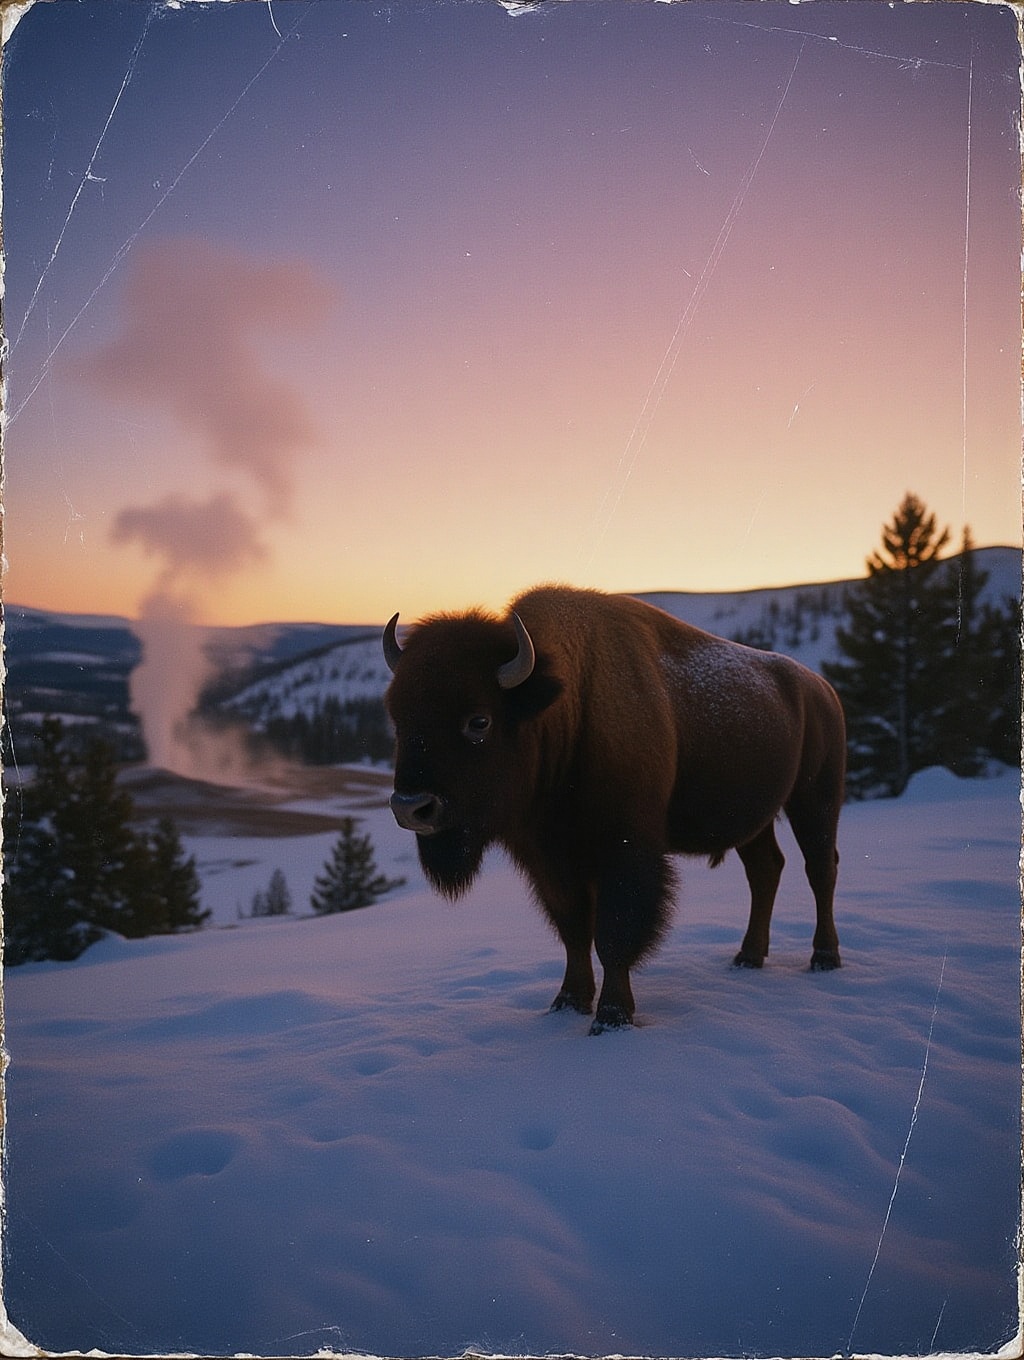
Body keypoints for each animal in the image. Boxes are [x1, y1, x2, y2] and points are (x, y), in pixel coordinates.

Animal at [383, 585, 845, 1034]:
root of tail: (822, 689)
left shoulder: (624, 850)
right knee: (765, 870)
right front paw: (567, 1002)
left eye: (479, 721)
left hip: (814, 799)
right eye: (399, 720)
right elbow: (573, 929)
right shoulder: (548, 858)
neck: (566, 709)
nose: (411, 808)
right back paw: (748, 956)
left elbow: (613, 933)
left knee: (820, 868)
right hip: (755, 821)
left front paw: (611, 1016)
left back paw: (824, 958)